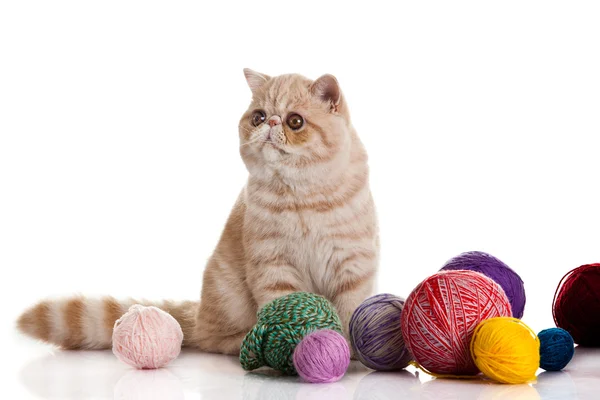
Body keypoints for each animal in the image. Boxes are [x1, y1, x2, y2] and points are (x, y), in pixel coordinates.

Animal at [17, 70, 380, 354]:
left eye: (295, 121)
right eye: (259, 117)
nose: (272, 123)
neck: (302, 196)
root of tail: (199, 311)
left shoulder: (353, 266)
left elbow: (349, 310)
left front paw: (350, 353)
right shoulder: (274, 267)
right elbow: (287, 309)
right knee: (211, 338)